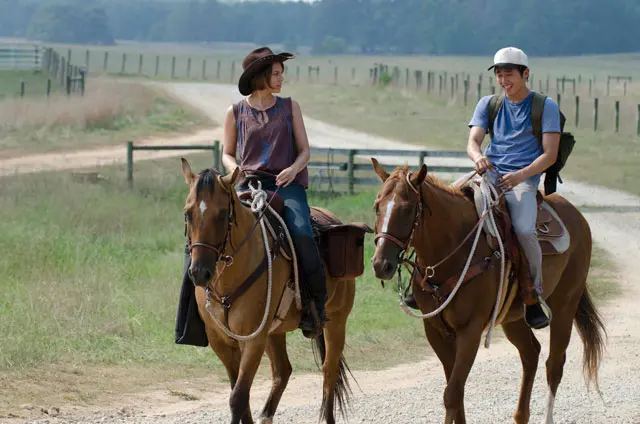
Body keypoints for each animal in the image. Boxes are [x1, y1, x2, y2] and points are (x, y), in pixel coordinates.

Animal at [182, 159, 358, 424]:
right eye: (188, 213)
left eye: (222, 214)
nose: (200, 272)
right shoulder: (220, 341)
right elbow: (239, 395)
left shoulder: (254, 339)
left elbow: (238, 397)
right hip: (275, 331)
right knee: (283, 371)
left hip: (337, 320)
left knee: (329, 371)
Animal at [370, 159, 604, 424]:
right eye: (377, 207)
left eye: (408, 209)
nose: (381, 264)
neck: (454, 248)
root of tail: (577, 216)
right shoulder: (436, 331)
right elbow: (455, 391)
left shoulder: (470, 331)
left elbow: (452, 393)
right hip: (513, 318)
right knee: (531, 353)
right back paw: (521, 415)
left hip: (566, 305)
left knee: (554, 365)